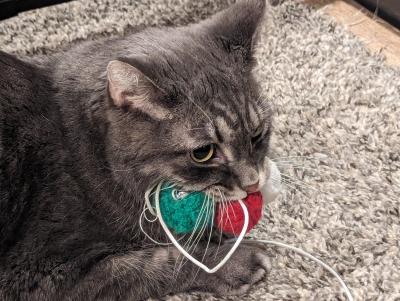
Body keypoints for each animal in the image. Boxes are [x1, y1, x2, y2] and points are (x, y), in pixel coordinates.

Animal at [0, 0, 276, 298]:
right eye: (203, 152)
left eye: (257, 134)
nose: (253, 183)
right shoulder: (41, 273)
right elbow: (149, 265)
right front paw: (231, 260)